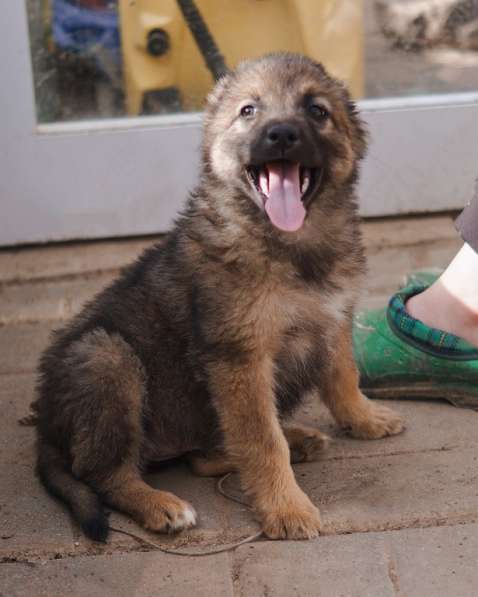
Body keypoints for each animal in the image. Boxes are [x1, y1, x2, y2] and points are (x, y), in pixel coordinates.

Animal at [31, 53, 404, 544]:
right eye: (248, 111)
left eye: (316, 110)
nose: (281, 134)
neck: (291, 246)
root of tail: (45, 426)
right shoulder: (239, 357)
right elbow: (262, 441)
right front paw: (286, 507)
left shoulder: (334, 319)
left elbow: (343, 376)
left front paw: (364, 418)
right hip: (105, 359)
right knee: (102, 472)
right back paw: (160, 505)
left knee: (204, 455)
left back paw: (294, 440)